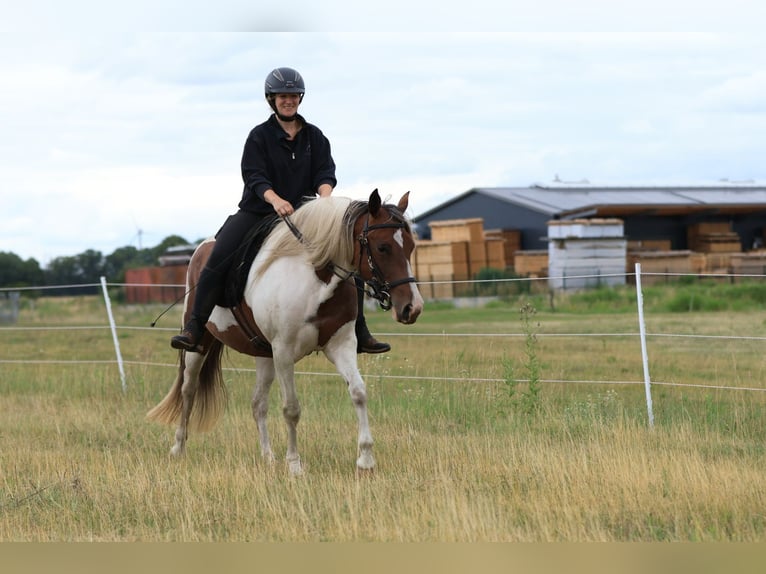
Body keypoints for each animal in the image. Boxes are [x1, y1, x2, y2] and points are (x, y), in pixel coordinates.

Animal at [147, 189, 424, 475]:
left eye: (411, 247)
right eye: (383, 247)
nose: (412, 308)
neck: (315, 278)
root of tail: (202, 248)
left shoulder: (341, 345)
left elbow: (358, 392)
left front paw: (366, 460)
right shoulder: (284, 352)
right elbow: (291, 408)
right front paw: (294, 465)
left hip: (263, 353)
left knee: (258, 403)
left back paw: (267, 456)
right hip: (200, 345)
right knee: (188, 390)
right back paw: (178, 448)